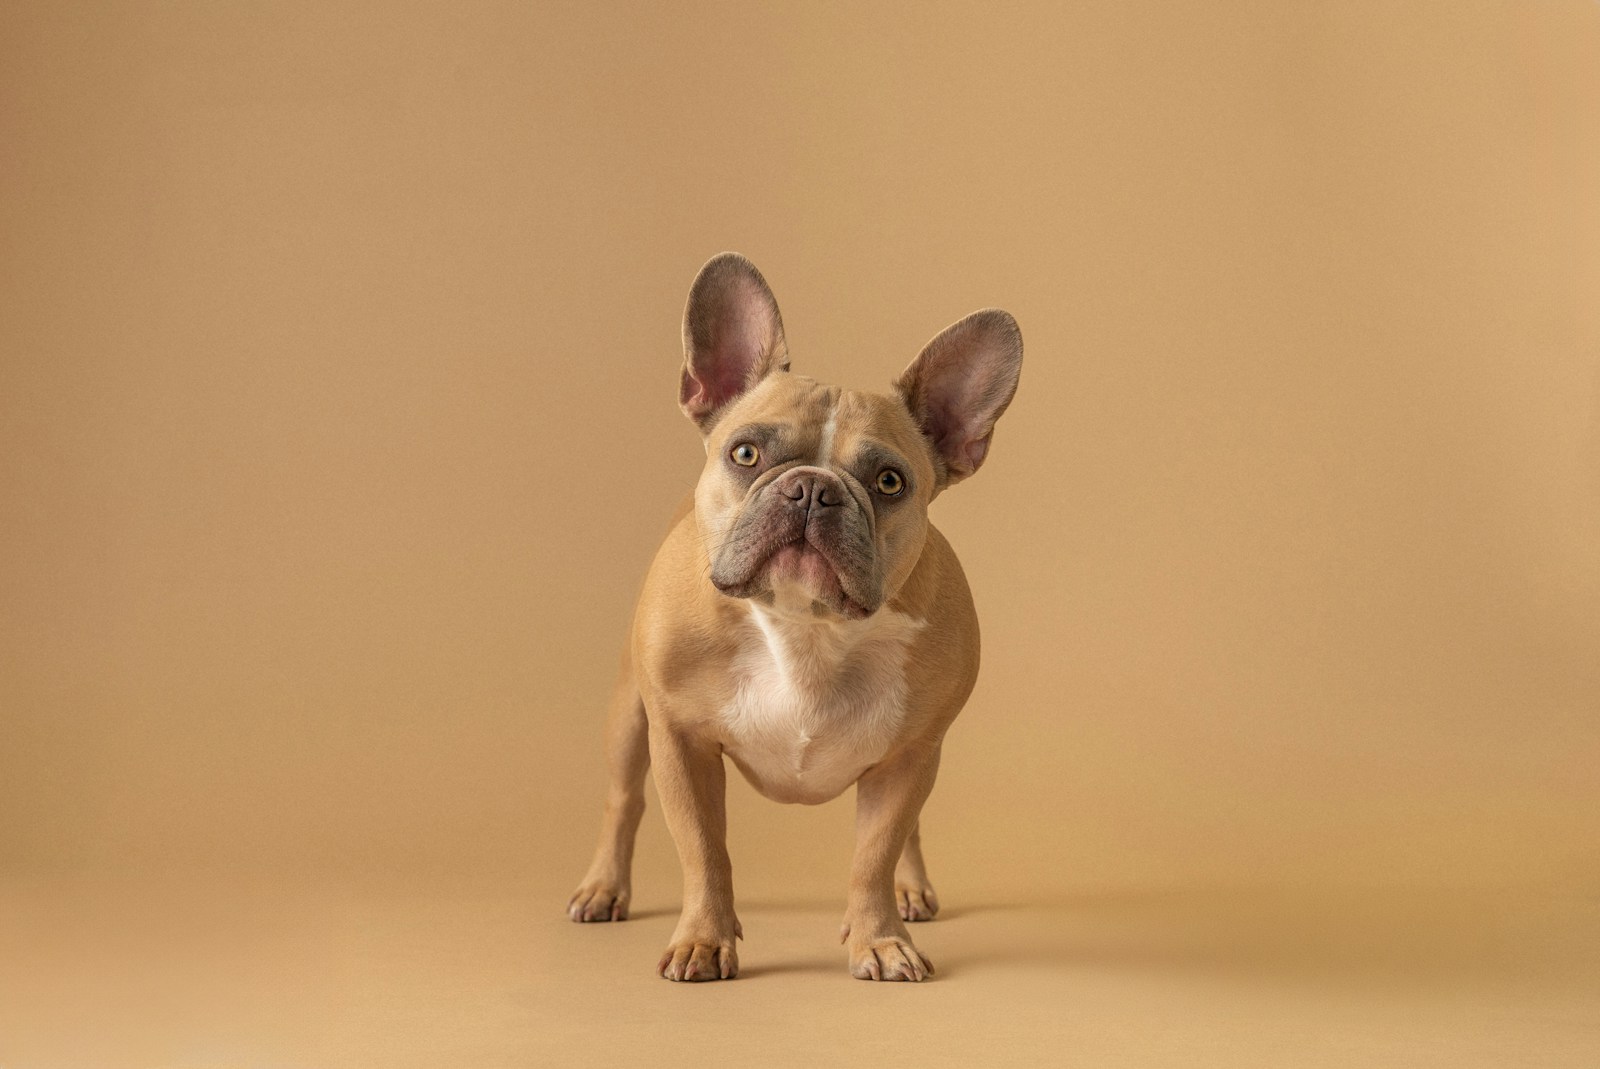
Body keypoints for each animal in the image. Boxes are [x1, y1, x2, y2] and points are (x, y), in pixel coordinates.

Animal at [569, 254, 1024, 979]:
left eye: (890, 481)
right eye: (746, 453)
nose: (811, 488)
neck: (806, 628)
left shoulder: (910, 757)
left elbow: (875, 853)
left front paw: (880, 938)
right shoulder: (681, 743)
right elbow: (705, 850)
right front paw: (703, 940)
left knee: (908, 832)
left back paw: (909, 889)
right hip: (630, 715)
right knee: (623, 800)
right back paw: (603, 888)